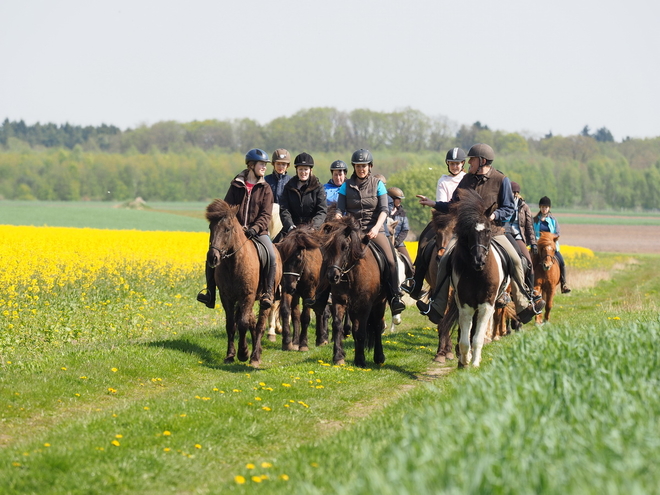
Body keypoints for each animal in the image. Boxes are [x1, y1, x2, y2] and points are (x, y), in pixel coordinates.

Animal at [204, 201, 282, 368]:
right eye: (211, 228)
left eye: (227, 229)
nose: (213, 257)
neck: (234, 264)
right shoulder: (227, 297)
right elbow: (231, 324)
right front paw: (230, 355)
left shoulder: (247, 296)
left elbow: (243, 323)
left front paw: (243, 353)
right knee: (252, 322)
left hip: (265, 298)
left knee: (260, 324)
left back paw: (255, 356)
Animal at [324, 217, 386, 368]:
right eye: (327, 248)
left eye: (345, 247)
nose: (333, 276)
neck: (351, 275)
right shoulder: (340, 301)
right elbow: (337, 326)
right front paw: (338, 357)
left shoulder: (365, 305)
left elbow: (361, 332)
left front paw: (360, 360)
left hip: (380, 303)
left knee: (377, 326)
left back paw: (379, 357)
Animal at [446, 190, 508, 368]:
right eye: (469, 233)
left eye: (488, 231)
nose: (479, 261)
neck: (477, 274)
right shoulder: (465, 304)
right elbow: (465, 339)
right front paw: (464, 361)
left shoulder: (486, 305)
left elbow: (477, 337)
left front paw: (474, 363)